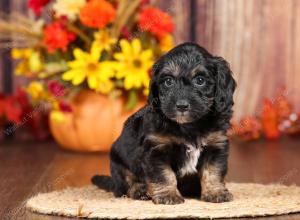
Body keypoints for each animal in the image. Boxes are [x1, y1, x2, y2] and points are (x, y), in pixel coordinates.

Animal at [92, 42, 237, 205]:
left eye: (200, 80)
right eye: (168, 81)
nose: (181, 106)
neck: (189, 126)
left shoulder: (215, 144)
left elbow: (213, 171)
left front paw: (215, 192)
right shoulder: (156, 148)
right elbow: (163, 174)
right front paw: (168, 195)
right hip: (118, 161)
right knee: (126, 183)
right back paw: (140, 190)